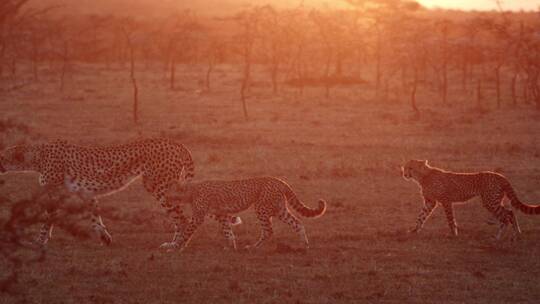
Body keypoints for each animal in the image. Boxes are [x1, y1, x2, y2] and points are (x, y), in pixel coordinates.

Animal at [0, 138, 237, 247]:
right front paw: (105, 237)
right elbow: (94, 216)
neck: (35, 156)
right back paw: (227, 241)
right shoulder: (86, 194)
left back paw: (175, 245)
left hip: (159, 186)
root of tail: (176, 143)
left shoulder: (56, 192)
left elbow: (47, 219)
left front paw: (39, 241)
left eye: (2, 156)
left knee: (183, 219)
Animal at [162, 177, 326, 251]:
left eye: (169, 191)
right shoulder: (222, 214)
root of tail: (279, 180)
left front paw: (175, 246)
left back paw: (253, 247)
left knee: (268, 230)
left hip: (261, 208)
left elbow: (186, 232)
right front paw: (231, 246)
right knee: (297, 223)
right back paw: (304, 245)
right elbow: (228, 231)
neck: (190, 190)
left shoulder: (198, 217)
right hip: (279, 210)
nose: (165, 197)